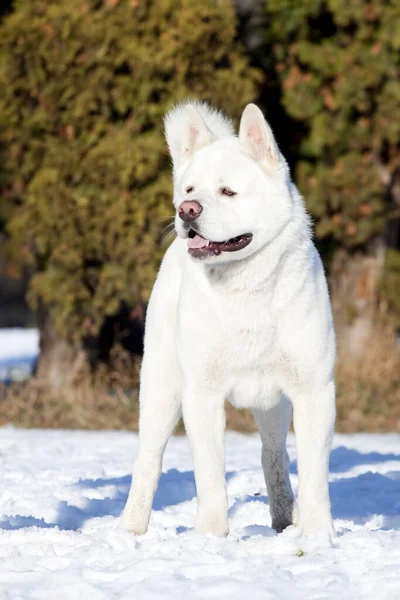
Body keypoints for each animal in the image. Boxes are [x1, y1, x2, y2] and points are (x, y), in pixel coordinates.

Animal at [120, 101, 336, 536]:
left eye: (228, 191)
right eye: (189, 190)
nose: (186, 211)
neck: (245, 290)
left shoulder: (313, 391)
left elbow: (314, 475)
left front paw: (319, 535)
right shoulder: (201, 395)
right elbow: (210, 478)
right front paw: (209, 537)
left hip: (275, 406)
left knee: (273, 454)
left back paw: (285, 519)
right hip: (160, 389)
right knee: (148, 459)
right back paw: (130, 528)